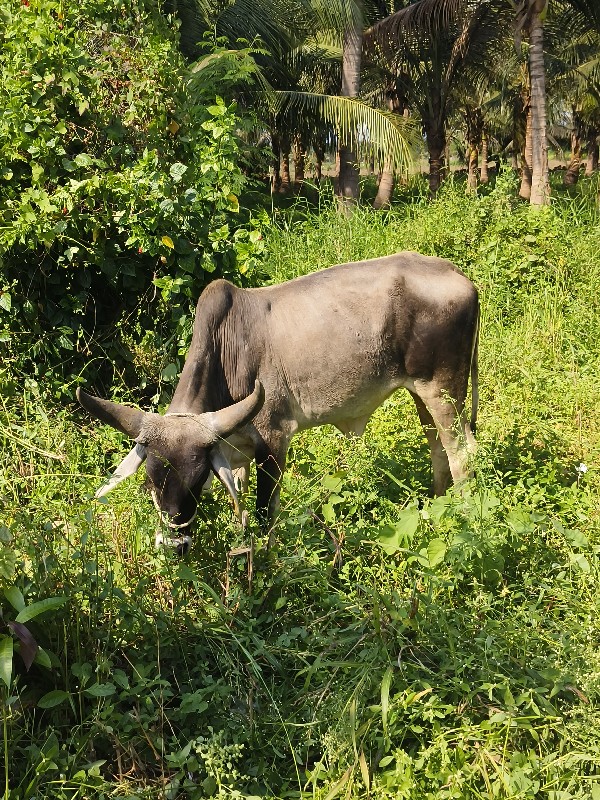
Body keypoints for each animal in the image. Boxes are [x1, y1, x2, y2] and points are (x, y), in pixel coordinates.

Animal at [78, 253, 478, 548]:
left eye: (197, 479)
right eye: (150, 481)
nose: (175, 546)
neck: (226, 348)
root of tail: (459, 275)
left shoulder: (273, 440)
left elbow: (262, 514)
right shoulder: (234, 449)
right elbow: (239, 503)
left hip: (443, 389)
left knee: (461, 453)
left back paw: (464, 521)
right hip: (420, 392)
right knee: (438, 449)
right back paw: (437, 507)